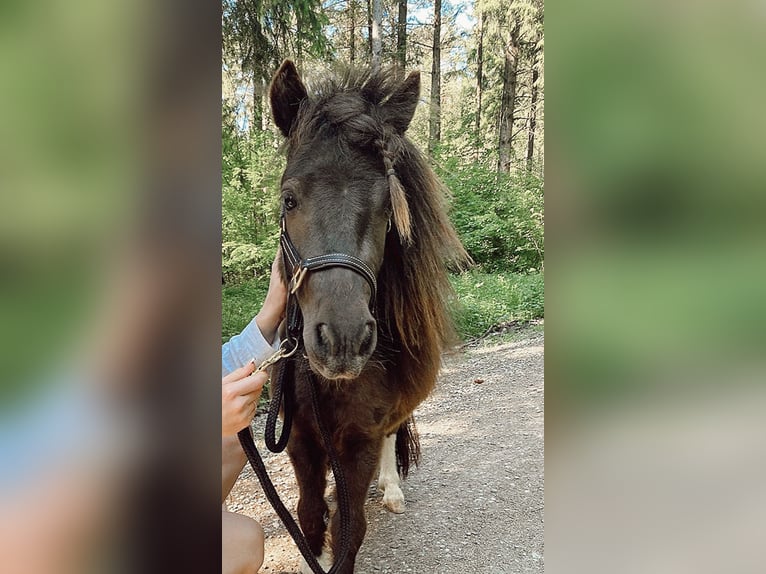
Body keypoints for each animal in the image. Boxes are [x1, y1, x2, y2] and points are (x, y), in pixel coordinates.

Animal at [270, 60, 468, 572]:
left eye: (386, 207)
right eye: (288, 199)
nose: (342, 340)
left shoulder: (359, 441)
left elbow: (350, 528)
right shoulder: (299, 437)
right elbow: (310, 514)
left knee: (393, 438)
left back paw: (392, 490)